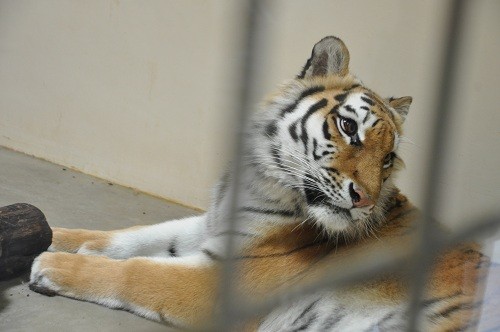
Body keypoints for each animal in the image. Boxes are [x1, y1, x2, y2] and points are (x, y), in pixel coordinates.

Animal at [29, 36, 490, 332]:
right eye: (348, 128)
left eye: (388, 159)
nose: (364, 200)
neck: (257, 184)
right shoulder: (213, 225)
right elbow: (134, 236)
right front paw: (61, 236)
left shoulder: (217, 284)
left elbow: (137, 270)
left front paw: (54, 265)